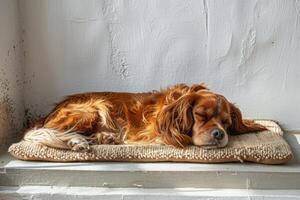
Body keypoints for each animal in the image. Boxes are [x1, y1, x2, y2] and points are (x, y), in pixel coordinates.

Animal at [24, 83, 268, 152]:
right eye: (200, 115)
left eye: (226, 123)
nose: (219, 134)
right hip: (93, 107)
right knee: (45, 133)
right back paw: (78, 141)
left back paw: (104, 137)